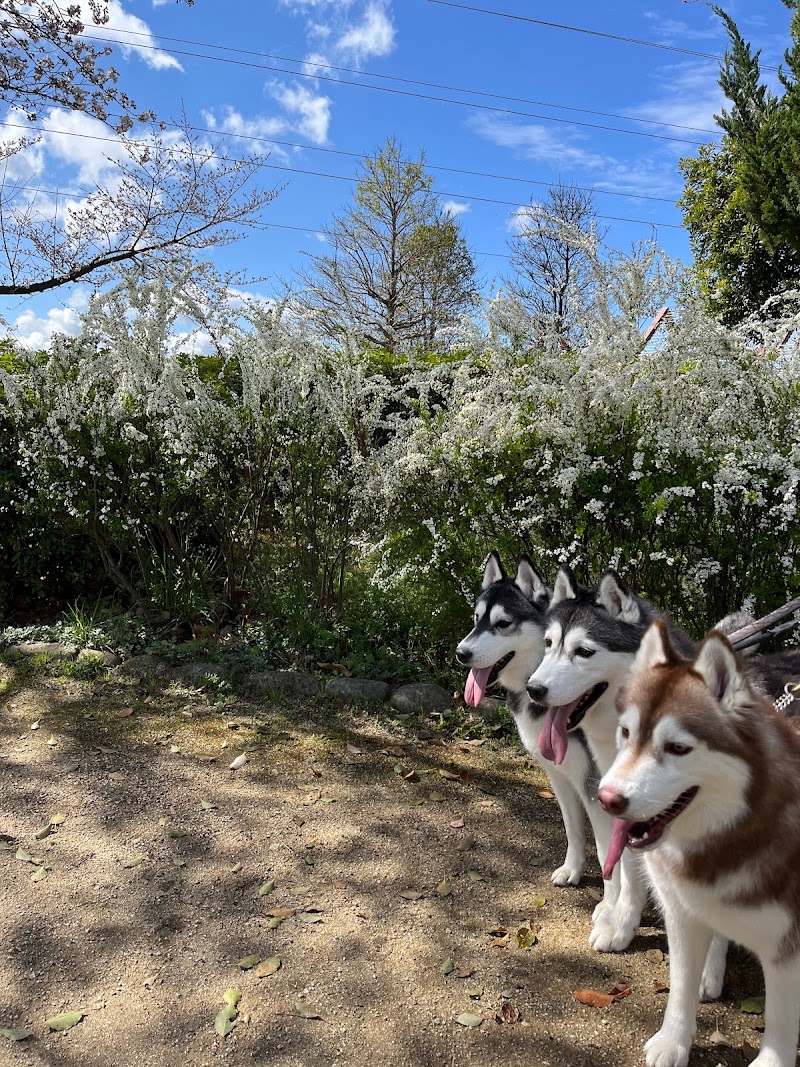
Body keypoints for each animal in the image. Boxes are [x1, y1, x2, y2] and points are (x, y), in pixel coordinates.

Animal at [456, 552, 619, 918]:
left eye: (503, 623)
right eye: (476, 618)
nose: (461, 653)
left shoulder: (594, 785)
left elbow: (609, 853)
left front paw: (611, 908)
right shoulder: (560, 775)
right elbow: (574, 828)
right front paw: (572, 870)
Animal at [597, 621, 800, 1067]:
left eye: (678, 748)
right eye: (626, 733)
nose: (606, 799)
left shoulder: (788, 947)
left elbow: (780, 1020)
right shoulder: (682, 912)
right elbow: (680, 986)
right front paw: (673, 1042)